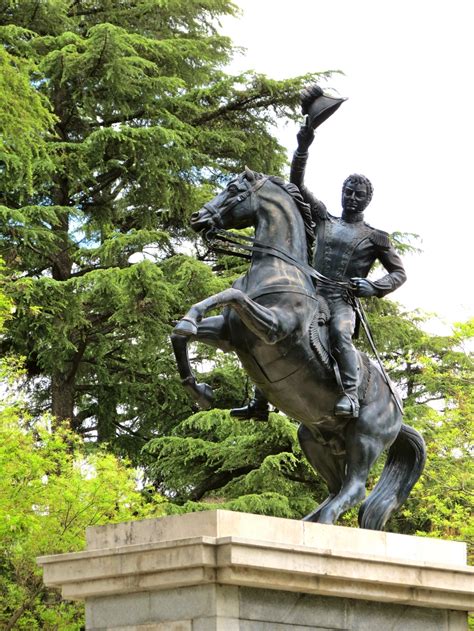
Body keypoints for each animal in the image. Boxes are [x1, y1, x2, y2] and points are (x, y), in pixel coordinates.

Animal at [173, 169, 426, 532]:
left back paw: (327, 521)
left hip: (366, 440)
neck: (279, 272)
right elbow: (182, 334)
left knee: (355, 488)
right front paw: (200, 390)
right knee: (336, 487)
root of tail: (399, 411)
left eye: (233, 190)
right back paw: (309, 523)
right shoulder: (229, 334)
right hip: (314, 438)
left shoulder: (274, 327)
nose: (197, 217)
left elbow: (229, 295)